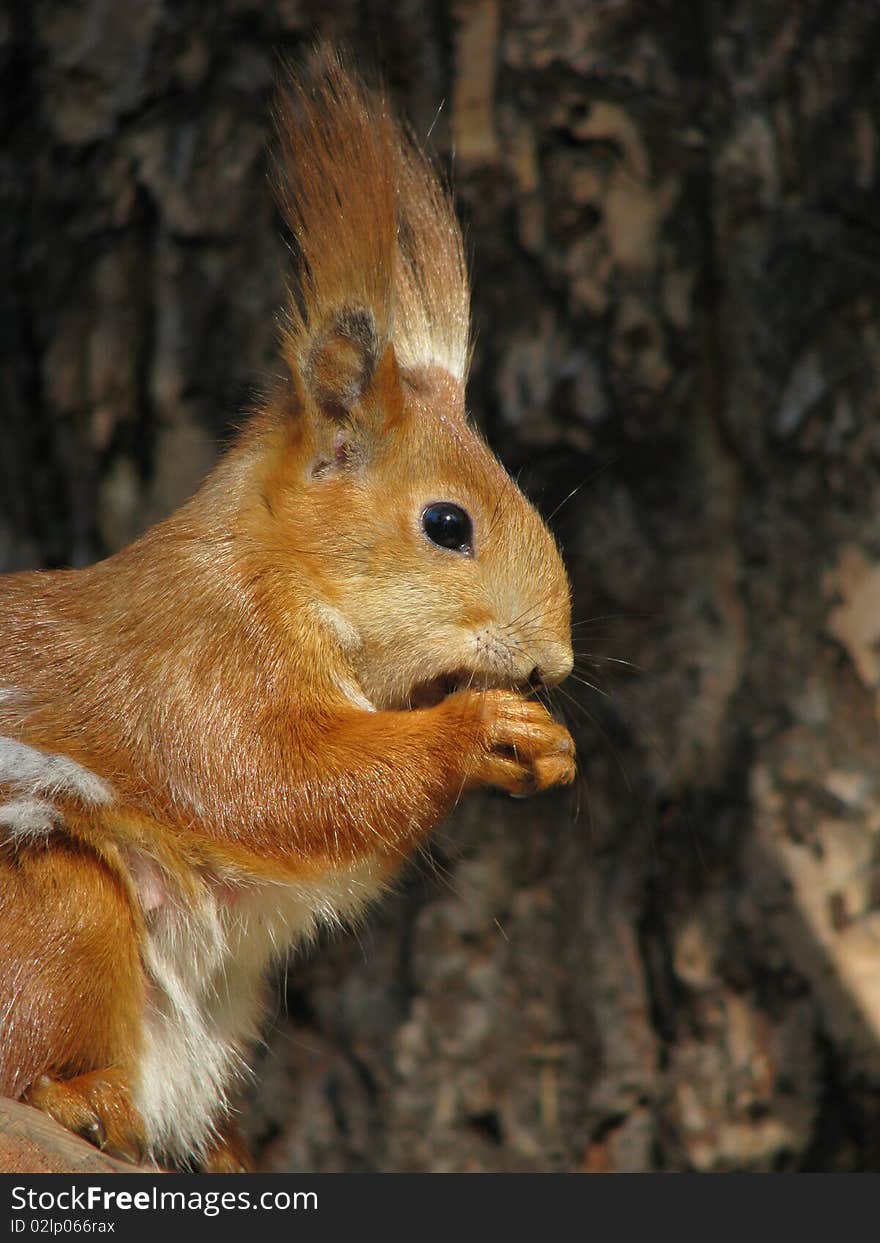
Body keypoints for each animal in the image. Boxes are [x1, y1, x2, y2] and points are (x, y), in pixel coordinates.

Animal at [0, 50, 576, 1173]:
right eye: (447, 523)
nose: (556, 664)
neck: (279, 571)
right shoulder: (194, 668)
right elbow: (276, 784)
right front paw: (479, 728)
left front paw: (545, 742)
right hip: (51, 908)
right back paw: (83, 1101)